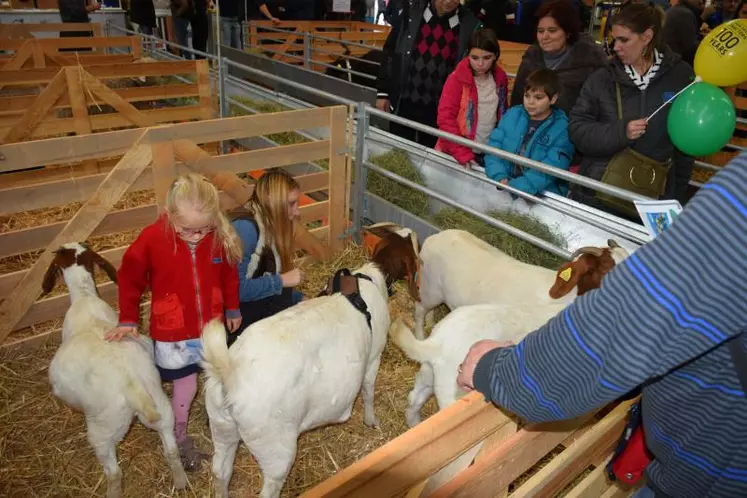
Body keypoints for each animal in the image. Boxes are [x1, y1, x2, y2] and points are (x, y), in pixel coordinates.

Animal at [42, 243, 187, 496]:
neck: (84, 296)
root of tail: (133, 387)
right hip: (163, 408)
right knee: (171, 450)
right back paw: (180, 483)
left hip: (104, 431)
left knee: (114, 472)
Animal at [202, 262, 394, 496]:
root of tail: (230, 372)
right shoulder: (374, 357)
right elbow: (368, 390)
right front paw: (371, 421)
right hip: (274, 447)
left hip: (221, 426)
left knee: (220, 471)